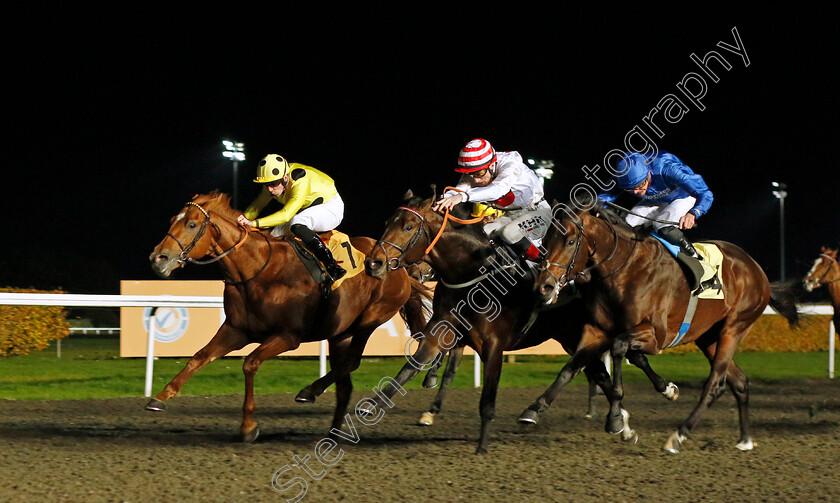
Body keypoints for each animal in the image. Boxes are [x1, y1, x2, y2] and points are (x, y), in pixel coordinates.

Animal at [146, 192, 434, 440]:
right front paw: (160, 397)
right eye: (173, 221)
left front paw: (248, 425)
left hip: (371, 319)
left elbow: (250, 363)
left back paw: (310, 392)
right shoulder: (236, 330)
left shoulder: (288, 336)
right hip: (339, 333)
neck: (259, 270)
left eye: (192, 224)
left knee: (352, 362)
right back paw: (332, 431)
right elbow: (199, 357)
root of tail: (397, 265)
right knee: (345, 383)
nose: (158, 258)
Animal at [360, 188, 676, 452]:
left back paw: (658, 394)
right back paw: (623, 423)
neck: (473, 274)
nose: (373, 263)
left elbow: (487, 398)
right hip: (573, 336)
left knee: (612, 365)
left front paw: (482, 447)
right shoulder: (442, 331)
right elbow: (411, 369)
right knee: (599, 373)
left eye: (408, 226)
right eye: (387, 222)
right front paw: (373, 405)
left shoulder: (493, 344)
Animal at [532, 199, 800, 454]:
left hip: (733, 329)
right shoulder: (596, 331)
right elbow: (572, 368)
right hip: (708, 337)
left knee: (715, 384)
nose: (543, 287)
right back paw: (745, 440)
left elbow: (619, 347)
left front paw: (616, 418)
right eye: (545, 239)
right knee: (739, 381)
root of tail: (756, 270)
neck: (624, 269)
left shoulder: (657, 336)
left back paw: (678, 435)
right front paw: (535, 409)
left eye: (570, 241)